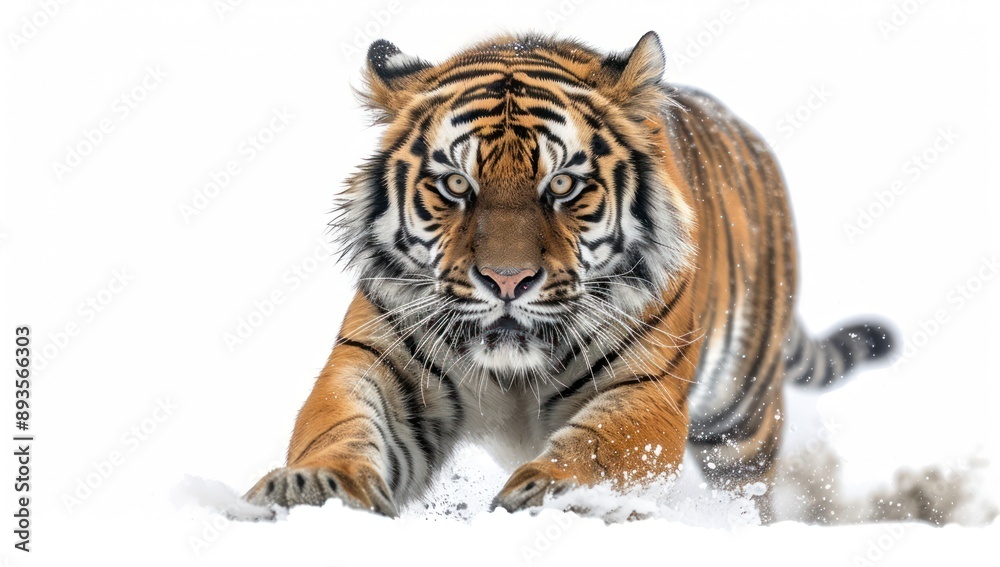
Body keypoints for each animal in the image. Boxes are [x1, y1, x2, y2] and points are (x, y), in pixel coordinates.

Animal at [244, 31, 894, 522]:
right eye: (455, 184)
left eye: (561, 185)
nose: (506, 282)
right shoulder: (377, 358)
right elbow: (336, 424)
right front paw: (313, 486)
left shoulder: (646, 390)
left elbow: (602, 451)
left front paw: (554, 494)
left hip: (743, 416)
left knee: (749, 486)